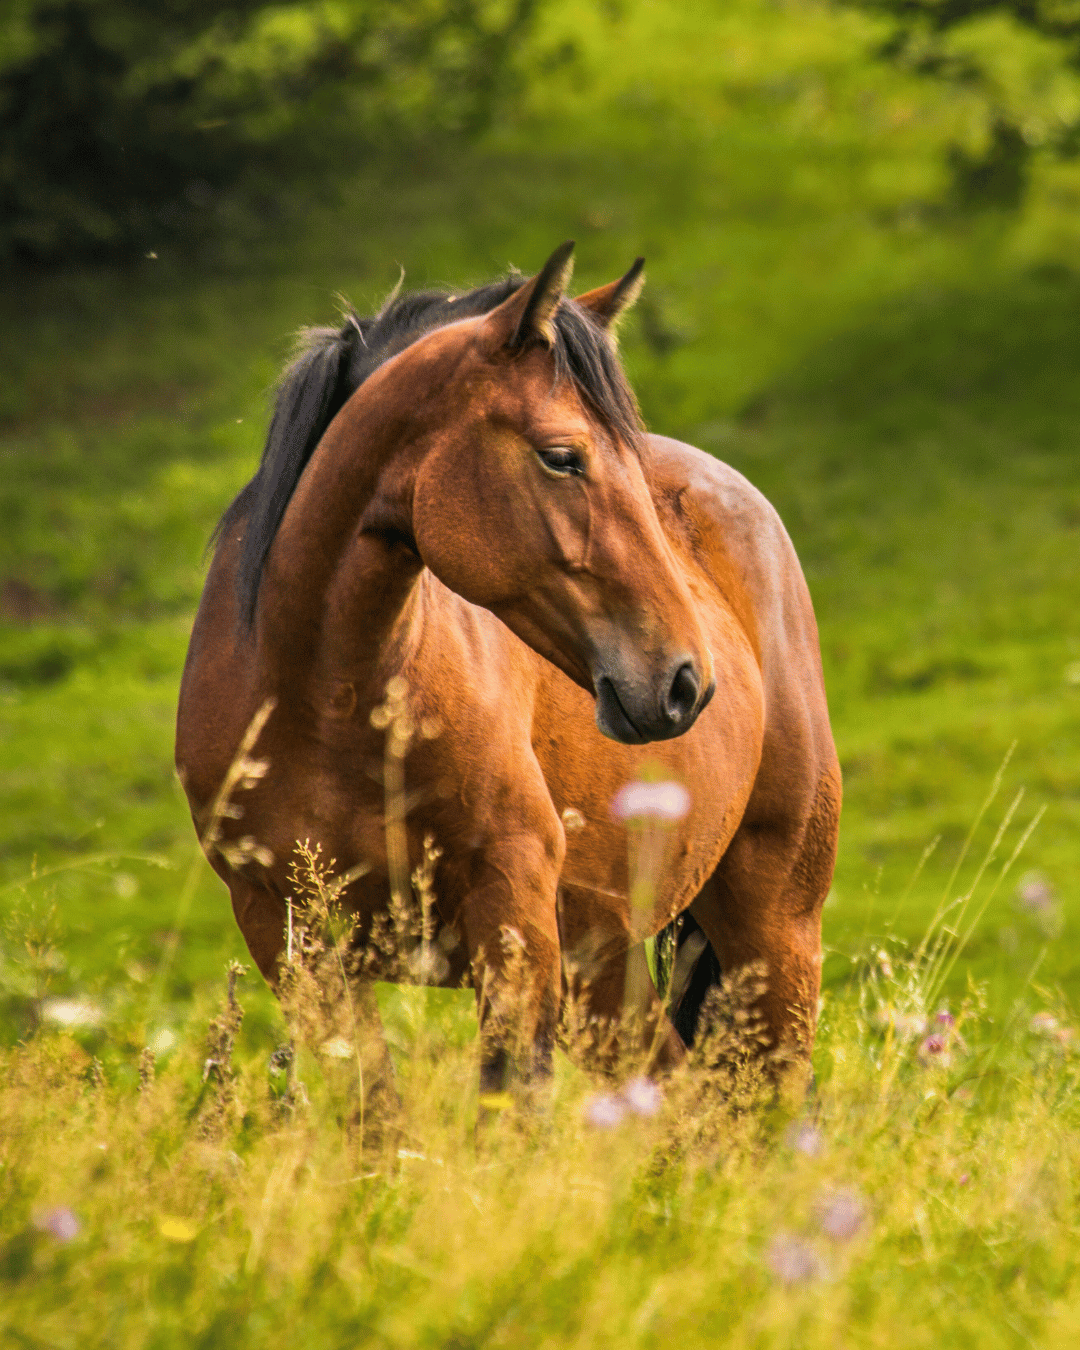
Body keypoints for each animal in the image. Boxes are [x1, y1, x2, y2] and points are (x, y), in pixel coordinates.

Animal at [175, 242, 840, 1101]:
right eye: (562, 457)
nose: (684, 681)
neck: (326, 701)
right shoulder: (290, 938)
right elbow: (375, 1114)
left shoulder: (514, 910)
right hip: (606, 963)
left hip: (774, 931)